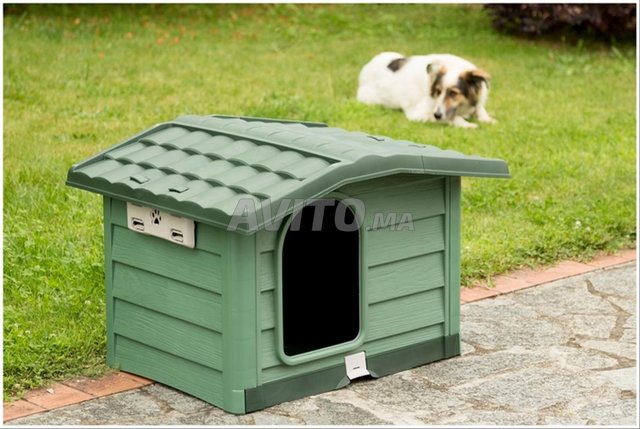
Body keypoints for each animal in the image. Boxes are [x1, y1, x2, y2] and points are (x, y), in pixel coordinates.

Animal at [357, 52, 496, 128]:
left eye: (453, 93)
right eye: (438, 91)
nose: (437, 115)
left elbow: (480, 109)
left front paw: (488, 119)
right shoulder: (418, 114)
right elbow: (452, 118)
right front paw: (467, 124)